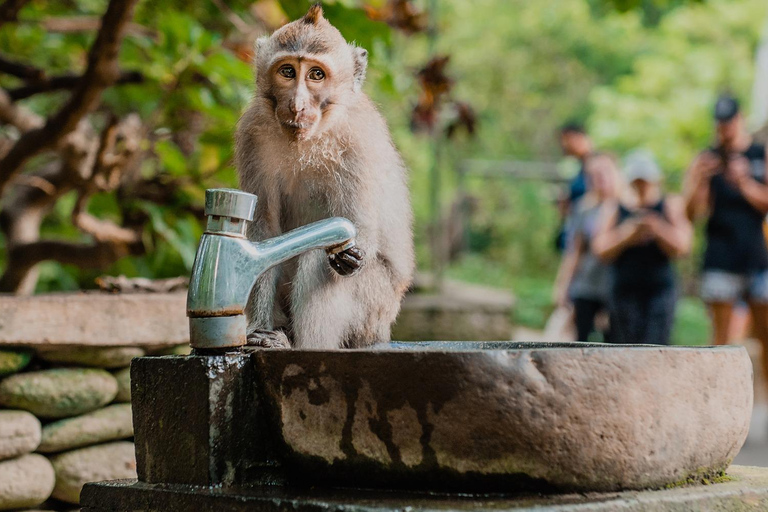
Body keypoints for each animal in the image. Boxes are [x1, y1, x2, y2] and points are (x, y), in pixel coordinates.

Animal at [235, 4, 415, 349]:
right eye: (287, 71)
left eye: (316, 74)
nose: (297, 105)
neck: (309, 138)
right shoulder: (251, 134)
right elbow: (264, 234)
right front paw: (259, 332)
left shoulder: (358, 141)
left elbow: (359, 229)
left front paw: (348, 255)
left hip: (373, 311)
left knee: (320, 261)